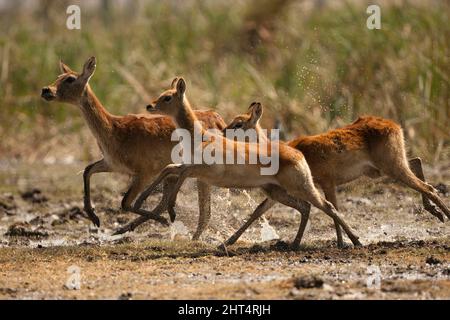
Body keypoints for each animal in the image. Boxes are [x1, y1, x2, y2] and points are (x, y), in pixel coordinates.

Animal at [39, 57, 225, 238]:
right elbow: (88, 170)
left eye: (70, 78)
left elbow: (125, 202)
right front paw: (94, 218)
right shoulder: (112, 164)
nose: (46, 90)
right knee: (169, 202)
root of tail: (218, 118)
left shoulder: (145, 172)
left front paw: (162, 221)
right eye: (58, 76)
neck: (114, 129)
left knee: (202, 210)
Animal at [134, 77, 362, 250]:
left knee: (327, 206)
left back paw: (355, 241)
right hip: (279, 192)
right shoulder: (192, 169)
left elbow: (179, 175)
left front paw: (170, 212)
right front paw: (139, 205)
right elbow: (169, 169)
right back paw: (296, 244)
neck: (200, 137)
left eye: (167, 96)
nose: (149, 106)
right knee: (306, 207)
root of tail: (298, 154)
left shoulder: (199, 171)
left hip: (302, 188)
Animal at [222, 102, 450, 248]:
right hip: (386, 168)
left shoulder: (325, 183)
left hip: (392, 167)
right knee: (418, 162)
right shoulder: (283, 191)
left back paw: (443, 216)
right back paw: (436, 213)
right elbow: (258, 211)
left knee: (428, 187)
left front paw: (343, 242)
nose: (222, 132)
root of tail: (393, 125)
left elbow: (332, 209)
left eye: (239, 124)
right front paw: (228, 241)